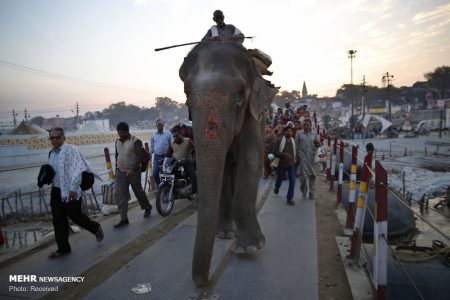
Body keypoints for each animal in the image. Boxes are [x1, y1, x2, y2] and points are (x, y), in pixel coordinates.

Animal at [182, 39, 280, 286]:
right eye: (186, 93)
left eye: (240, 94)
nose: (202, 282)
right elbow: (224, 166)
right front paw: (225, 235)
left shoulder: (252, 114)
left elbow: (251, 159)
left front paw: (250, 247)